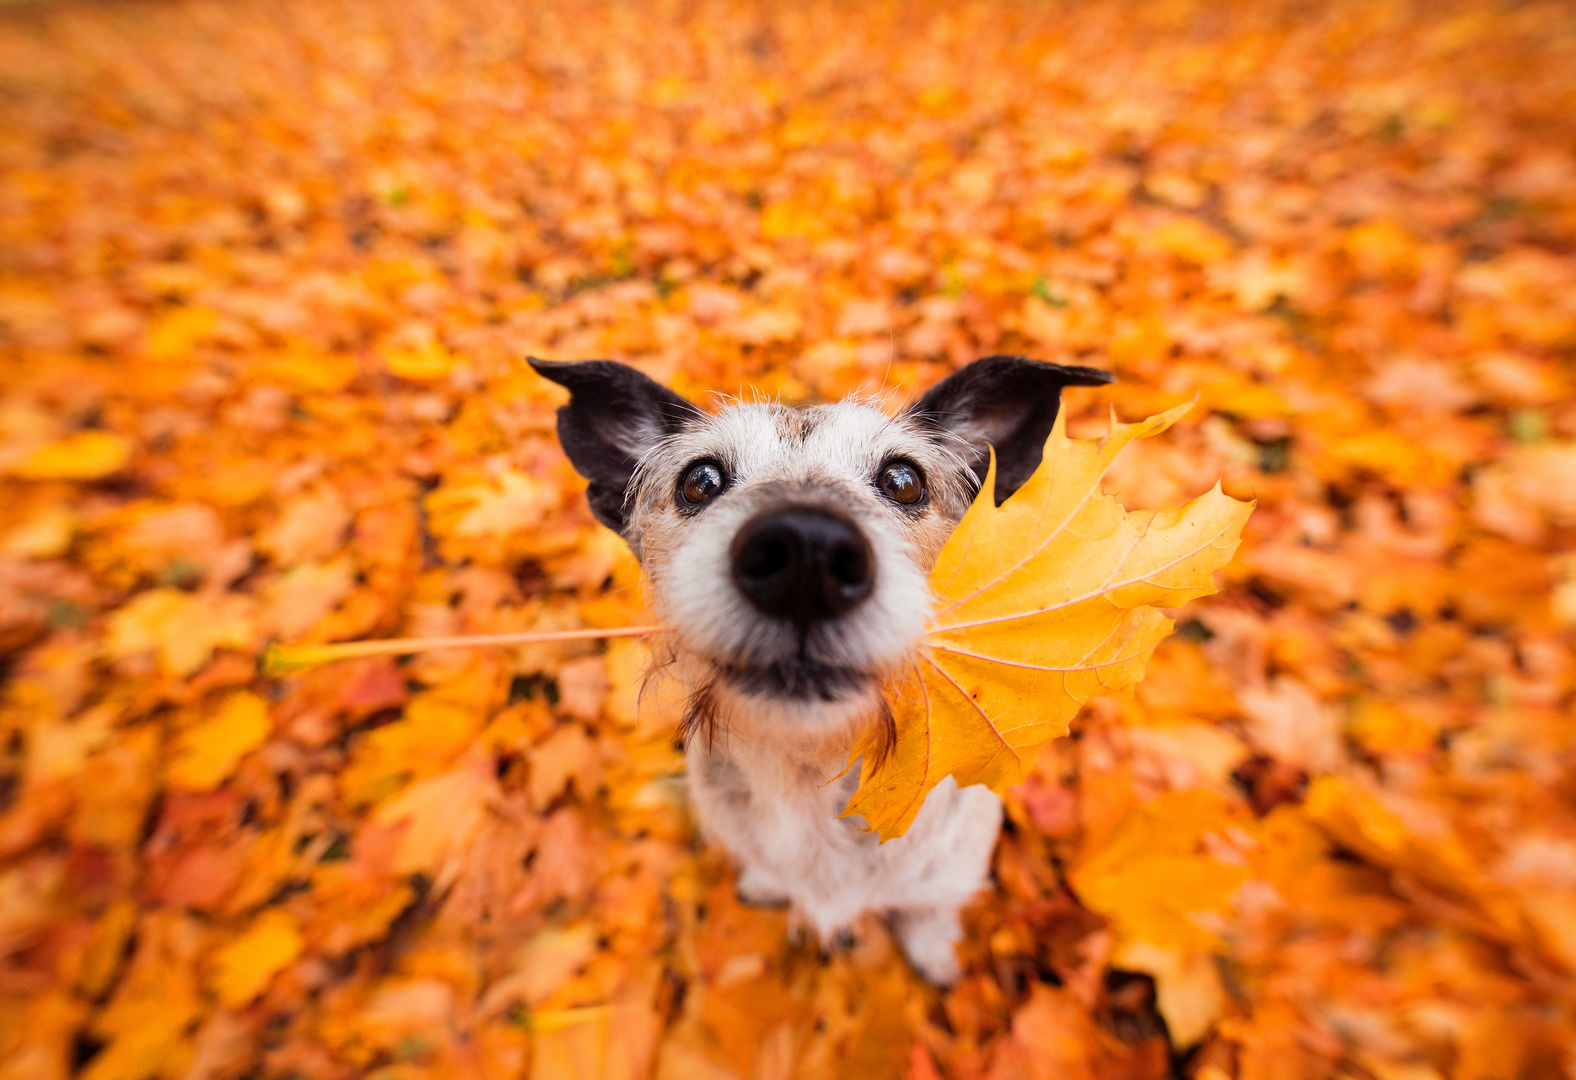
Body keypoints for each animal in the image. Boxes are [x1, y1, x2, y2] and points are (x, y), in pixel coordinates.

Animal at [535, 356, 1115, 983]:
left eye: (904, 480)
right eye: (700, 480)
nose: (805, 551)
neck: (813, 773)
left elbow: (929, 909)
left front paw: (931, 947)